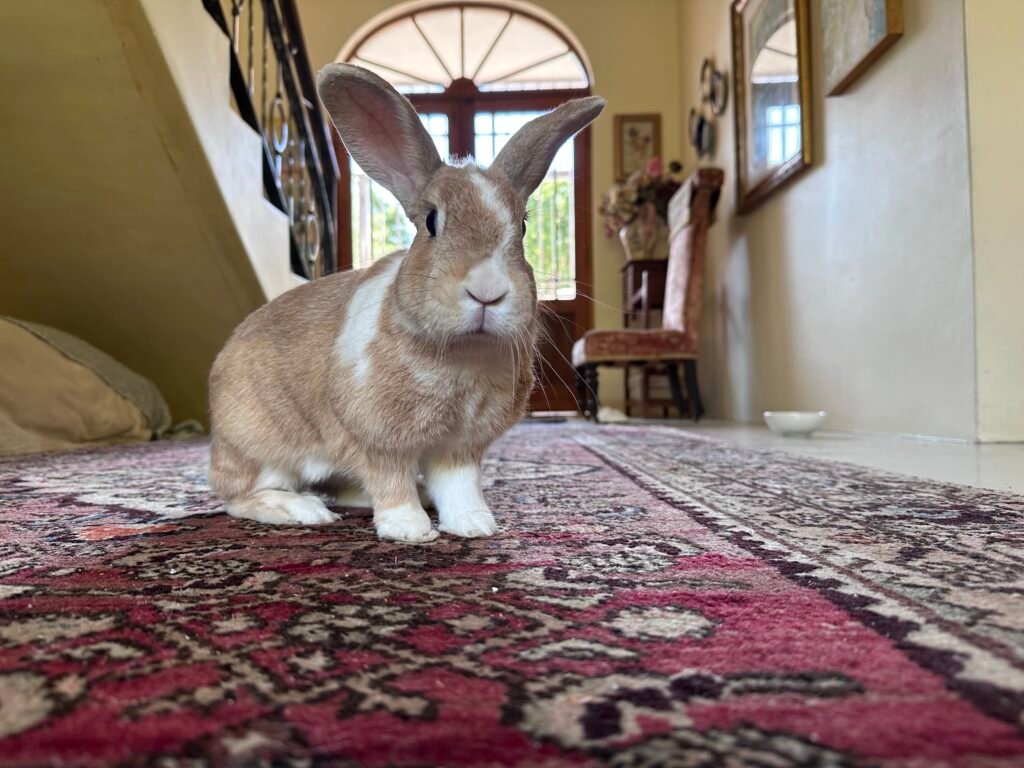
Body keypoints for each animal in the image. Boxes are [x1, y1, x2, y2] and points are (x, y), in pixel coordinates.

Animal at [207, 63, 605, 543]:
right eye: (431, 222)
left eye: (523, 226)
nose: (487, 291)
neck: (462, 355)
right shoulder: (377, 440)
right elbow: (390, 480)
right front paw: (410, 530)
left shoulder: (460, 448)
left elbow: (459, 485)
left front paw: (474, 525)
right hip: (263, 449)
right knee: (239, 496)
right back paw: (301, 510)